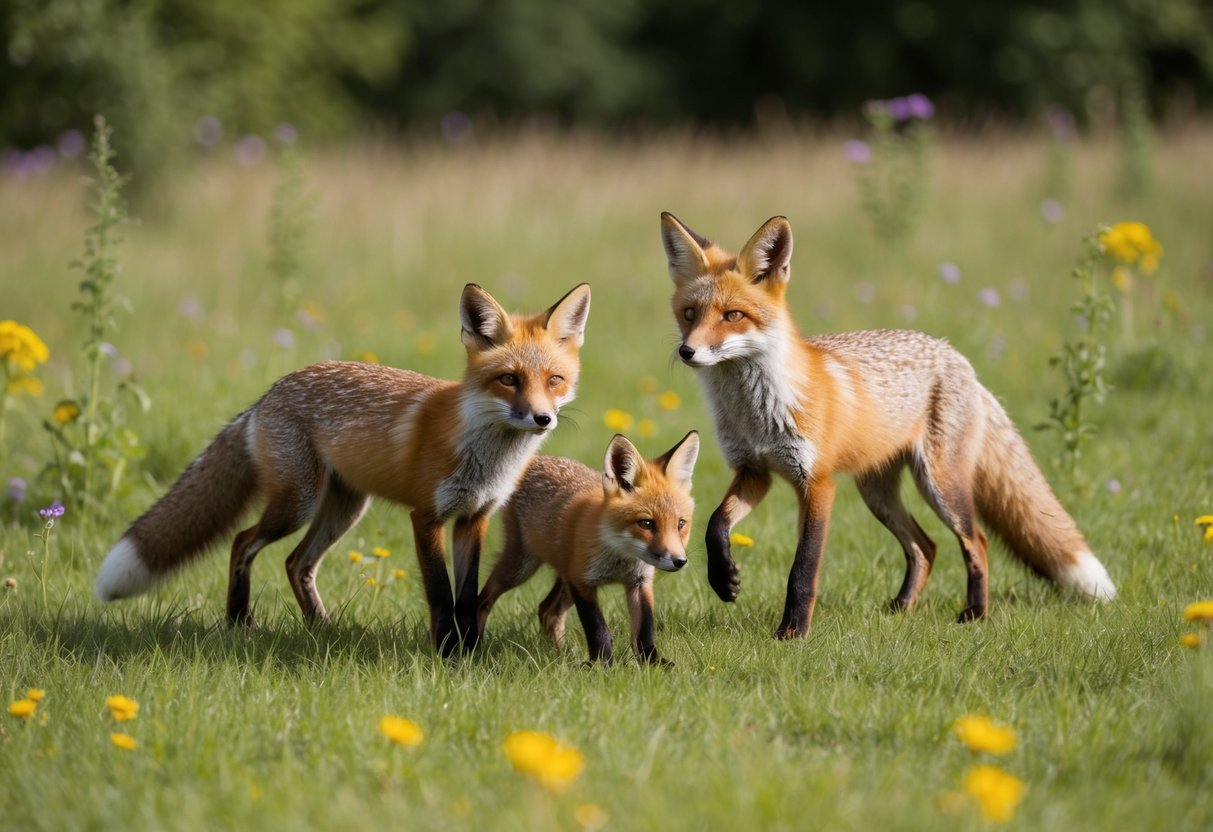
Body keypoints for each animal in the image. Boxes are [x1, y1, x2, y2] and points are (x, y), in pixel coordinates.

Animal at [94, 282, 591, 655]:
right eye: (509, 379)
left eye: (554, 381)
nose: (542, 419)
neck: (484, 454)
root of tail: (268, 394)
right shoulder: (427, 516)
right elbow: (440, 594)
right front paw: (448, 653)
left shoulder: (474, 518)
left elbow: (468, 598)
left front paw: (469, 653)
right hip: (297, 503)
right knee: (242, 542)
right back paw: (240, 621)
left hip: (345, 509)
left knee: (296, 563)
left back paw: (321, 627)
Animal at [476, 431, 700, 665]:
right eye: (646, 523)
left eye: (680, 524)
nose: (679, 561)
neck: (620, 556)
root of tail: (536, 459)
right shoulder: (582, 582)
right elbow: (597, 628)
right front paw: (602, 664)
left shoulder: (639, 581)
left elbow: (644, 630)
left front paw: (652, 663)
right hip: (521, 567)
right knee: (483, 601)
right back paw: (474, 648)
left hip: (563, 577)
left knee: (548, 611)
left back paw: (560, 653)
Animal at [659, 212, 1116, 638]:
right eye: (689, 314)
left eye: (732, 315)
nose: (687, 352)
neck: (757, 415)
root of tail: (957, 357)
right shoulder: (755, 472)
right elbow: (715, 523)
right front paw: (724, 580)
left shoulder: (817, 484)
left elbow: (802, 569)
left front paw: (792, 632)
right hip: (876, 492)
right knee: (925, 546)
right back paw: (901, 608)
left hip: (940, 486)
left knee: (976, 541)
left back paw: (974, 613)